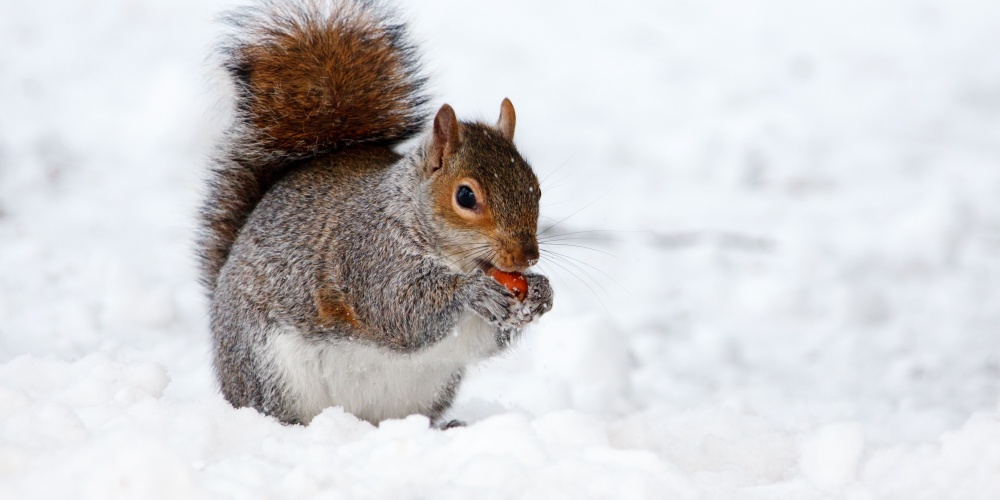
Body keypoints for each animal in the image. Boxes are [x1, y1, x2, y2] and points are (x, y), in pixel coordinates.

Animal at [195, 0, 556, 426]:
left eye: (536, 188)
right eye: (466, 196)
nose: (527, 257)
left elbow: (486, 339)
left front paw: (541, 292)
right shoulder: (369, 255)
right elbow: (399, 309)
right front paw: (473, 290)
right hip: (267, 368)